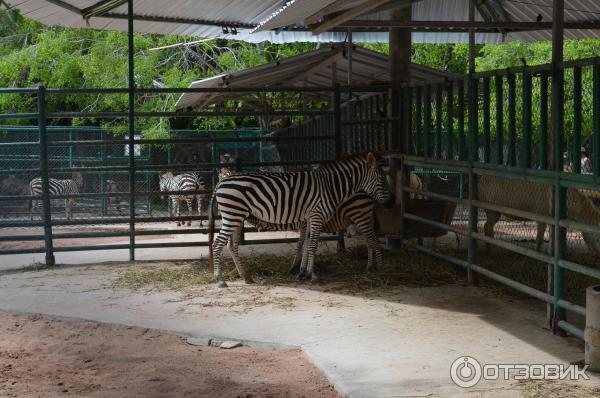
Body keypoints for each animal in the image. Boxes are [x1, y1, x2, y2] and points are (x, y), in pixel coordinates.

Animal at [209, 152, 396, 286]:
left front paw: (303, 272)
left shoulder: (310, 219)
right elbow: (311, 245)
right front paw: (311, 275)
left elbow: (306, 244)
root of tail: (220, 183)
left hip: (236, 217)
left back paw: (246, 277)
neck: (331, 187)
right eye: (382, 178)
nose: (392, 202)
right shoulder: (316, 215)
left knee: (231, 245)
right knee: (217, 244)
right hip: (233, 215)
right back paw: (220, 280)